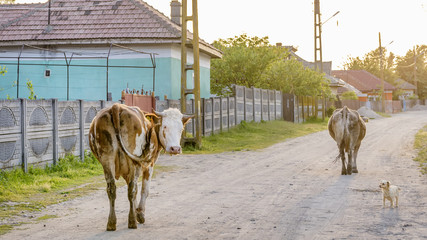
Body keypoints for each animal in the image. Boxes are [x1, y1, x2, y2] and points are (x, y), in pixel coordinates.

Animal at [88, 103, 192, 231]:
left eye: (181, 129)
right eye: (165, 127)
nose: (175, 149)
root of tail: (116, 107)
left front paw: (135, 209)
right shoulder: (149, 164)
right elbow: (144, 190)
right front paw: (140, 213)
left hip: (107, 159)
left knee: (112, 189)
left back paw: (112, 223)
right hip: (133, 161)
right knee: (132, 189)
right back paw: (132, 221)